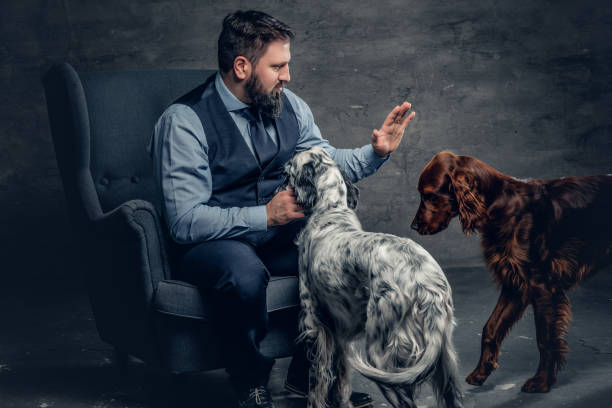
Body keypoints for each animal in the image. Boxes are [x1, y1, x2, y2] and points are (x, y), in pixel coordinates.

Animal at [280, 147, 462, 408]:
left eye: (288, 170)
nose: (279, 182)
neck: (331, 212)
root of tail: (428, 284)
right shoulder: (341, 332)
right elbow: (342, 384)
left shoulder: (315, 325)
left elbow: (318, 385)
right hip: (444, 363)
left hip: (380, 356)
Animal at [412, 151, 612, 394]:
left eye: (429, 195)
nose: (413, 226)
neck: (501, 207)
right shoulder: (515, 283)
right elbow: (490, 328)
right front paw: (482, 371)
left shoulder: (542, 286)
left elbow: (544, 338)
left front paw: (542, 381)